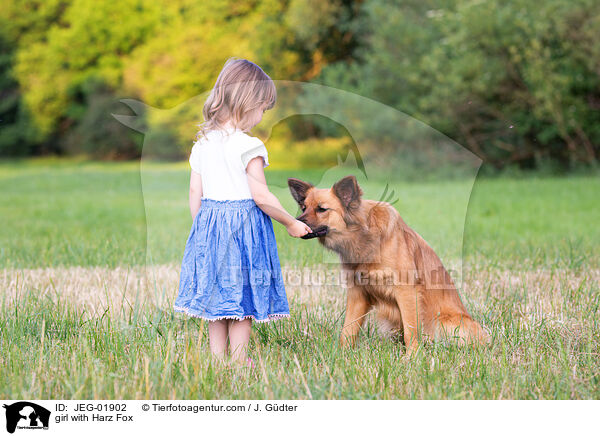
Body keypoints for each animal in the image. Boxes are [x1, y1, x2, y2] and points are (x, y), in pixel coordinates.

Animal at [288, 175, 490, 352]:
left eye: (322, 209)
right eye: (304, 207)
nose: (296, 222)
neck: (365, 236)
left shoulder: (406, 291)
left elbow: (411, 331)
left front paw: (412, 357)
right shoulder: (357, 294)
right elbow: (348, 329)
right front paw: (340, 354)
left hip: (444, 322)